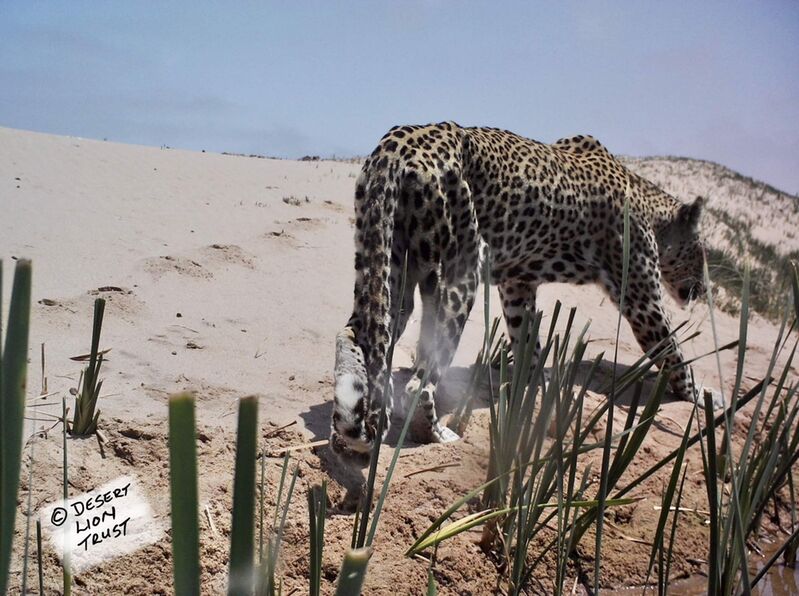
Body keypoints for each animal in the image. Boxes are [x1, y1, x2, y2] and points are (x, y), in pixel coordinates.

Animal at [328, 122, 716, 466]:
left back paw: (344, 435)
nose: (705, 288)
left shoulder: (517, 284)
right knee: (419, 383)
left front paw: (534, 392)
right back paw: (437, 435)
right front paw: (705, 397)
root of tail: (400, 143)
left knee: (352, 336)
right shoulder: (642, 298)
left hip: (392, 267)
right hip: (462, 271)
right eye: (701, 251)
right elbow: (674, 353)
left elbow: (529, 340)